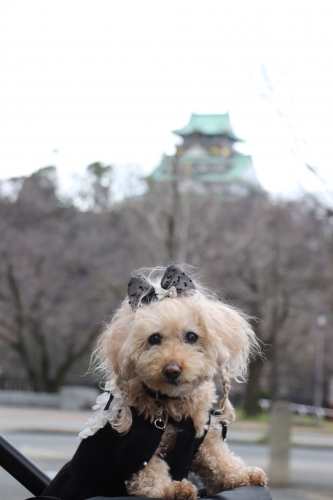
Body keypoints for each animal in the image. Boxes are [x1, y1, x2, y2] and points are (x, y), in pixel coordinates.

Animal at [42, 264, 266, 498]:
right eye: (154, 338)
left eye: (192, 336)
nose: (172, 370)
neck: (172, 405)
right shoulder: (137, 449)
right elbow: (150, 479)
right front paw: (176, 489)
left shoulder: (204, 439)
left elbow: (220, 459)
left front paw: (244, 475)